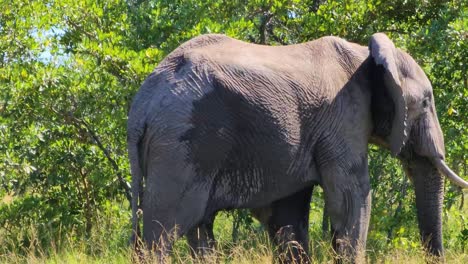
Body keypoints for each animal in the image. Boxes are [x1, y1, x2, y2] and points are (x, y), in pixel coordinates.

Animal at [126, 33, 466, 262]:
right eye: (426, 102)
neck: (366, 54)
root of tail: (142, 103)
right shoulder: (343, 119)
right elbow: (350, 199)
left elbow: (286, 215)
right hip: (182, 147)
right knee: (164, 228)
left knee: (198, 228)